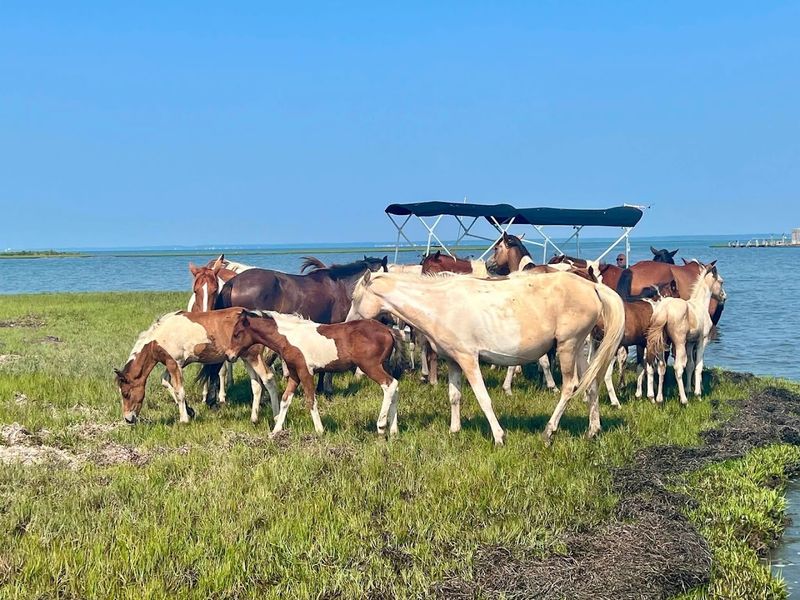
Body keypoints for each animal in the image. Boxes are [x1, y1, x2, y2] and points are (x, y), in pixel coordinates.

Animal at [114, 308, 280, 425]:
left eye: (126, 394)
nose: (128, 419)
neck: (159, 338)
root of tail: (259, 315)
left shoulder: (175, 364)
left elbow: (180, 391)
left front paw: (184, 420)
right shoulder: (171, 364)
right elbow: (166, 383)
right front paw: (190, 411)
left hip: (253, 356)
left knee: (268, 379)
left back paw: (277, 417)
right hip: (246, 358)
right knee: (256, 385)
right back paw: (254, 418)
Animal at [215, 310, 403, 437]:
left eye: (237, 334)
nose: (229, 355)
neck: (289, 337)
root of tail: (389, 331)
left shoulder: (305, 372)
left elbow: (311, 400)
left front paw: (320, 431)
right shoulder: (294, 374)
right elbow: (285, 400)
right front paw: (275, 431)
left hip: (370, 366)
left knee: (389, 385)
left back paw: (381, 426)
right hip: (383, 365)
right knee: (395, 388)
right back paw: (394, 430)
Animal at [346, 270, 625, 445]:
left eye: (354, 297)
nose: (347, 322)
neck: (441, 304)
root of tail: (592, 286)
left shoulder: (468, 358)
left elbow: (483, 398)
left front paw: (499, 436)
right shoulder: (453, 360)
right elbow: (454, 396)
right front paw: (454, 431)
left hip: (567, 346)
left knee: (570, 387)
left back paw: (549, 432)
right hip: (577, 349)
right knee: (591, 384)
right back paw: (593, 430)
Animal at [646, 262, 727, 404]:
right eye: (721, 281)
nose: (724, 296)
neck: (700, 305)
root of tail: (665, 310)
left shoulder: (690, 343)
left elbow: (690, 365)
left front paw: (689, 389)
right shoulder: (701, 341)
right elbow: (698, 366)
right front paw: (697, 394)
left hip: (662, 343)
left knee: (661, 366)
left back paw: (659, 398)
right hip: (679, 343)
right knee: (678, 368)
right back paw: (684, 400)